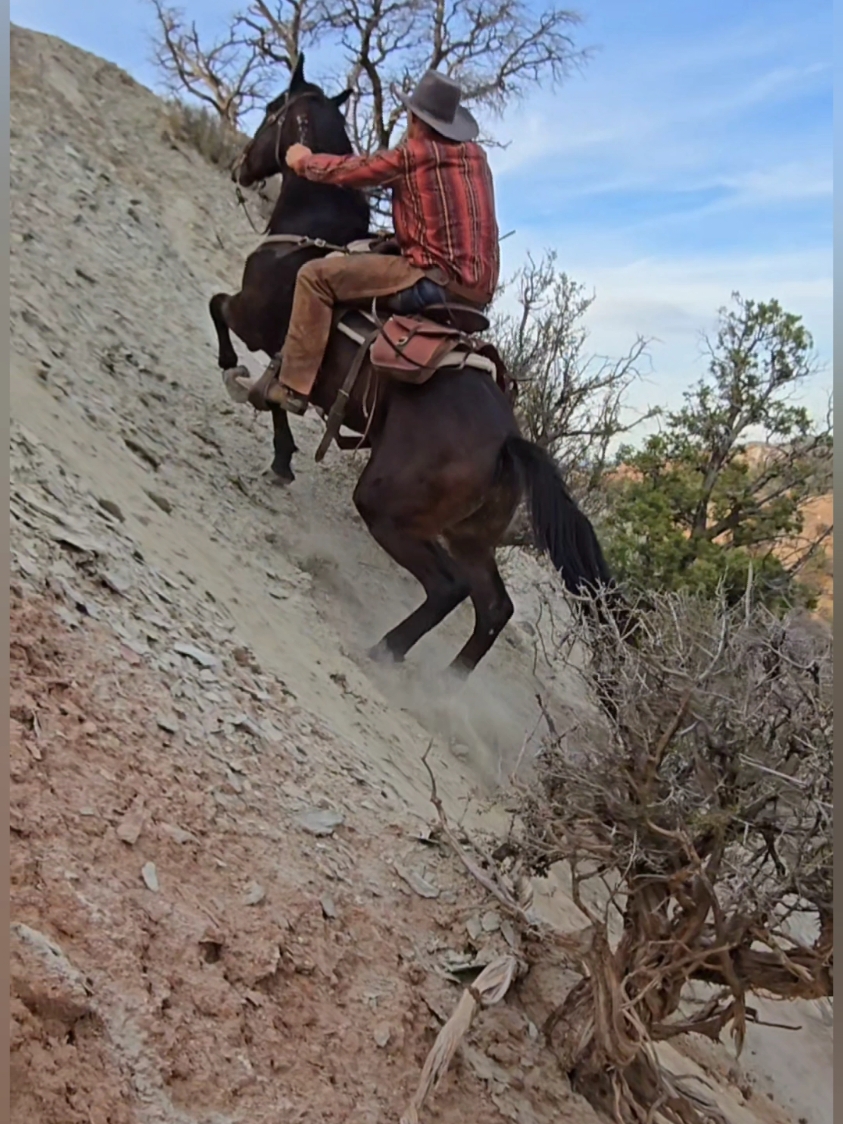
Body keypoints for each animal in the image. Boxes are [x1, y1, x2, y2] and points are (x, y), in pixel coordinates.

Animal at [212, 59, 620, 674]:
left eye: (270, 111)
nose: (242, 165)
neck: (313, 236)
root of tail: (507, 444)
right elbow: (281, 386)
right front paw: (282, 459)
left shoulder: (255, 317)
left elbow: (224, 316)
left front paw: (232, 371)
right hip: (468, 535)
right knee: (492, 606)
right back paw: (447, 682)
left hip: (388, 509)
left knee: (449, 589)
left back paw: (385, 654)